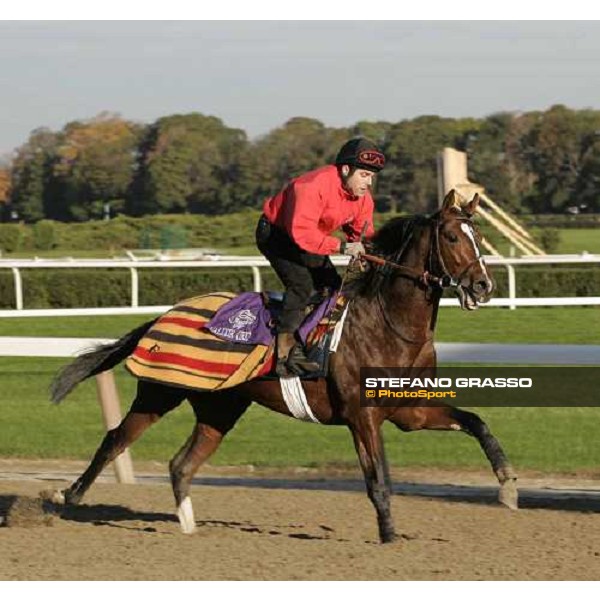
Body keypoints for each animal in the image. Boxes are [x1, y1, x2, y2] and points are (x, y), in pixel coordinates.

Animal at [50, 191, 516, 544]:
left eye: (480, 236)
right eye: (453, 236)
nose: (483, 286)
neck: (390, 325)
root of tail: (163, 315)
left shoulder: (409, 411)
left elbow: (477, 423)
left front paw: (508, 487)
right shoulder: (362, 417)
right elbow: (378, 480)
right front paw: (388, 536)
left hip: (220, 408)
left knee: (181, 464)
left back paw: (189, 527)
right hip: (161, 391)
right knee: (115, 439)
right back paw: (67, 499)